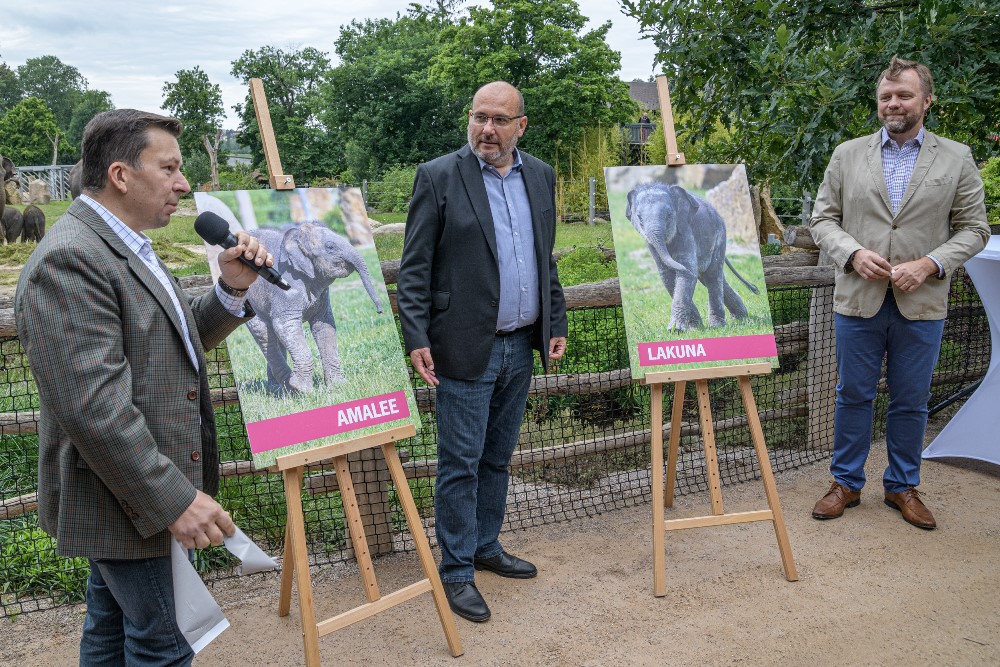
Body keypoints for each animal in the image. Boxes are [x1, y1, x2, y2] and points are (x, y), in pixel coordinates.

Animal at [244, 222, 384, 394]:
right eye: (330, 246)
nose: (379, 311)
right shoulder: (286, 287)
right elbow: (285, 325)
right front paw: (304, 390)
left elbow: (324, 325)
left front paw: (338, 386)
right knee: (264, 333)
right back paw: (289, 387)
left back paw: (280, 389)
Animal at [624, 183, 756, 332]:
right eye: (639, 218)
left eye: (669, 216)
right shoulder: (650, 243)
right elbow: (667, 276)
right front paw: (693, 328)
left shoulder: (685, 230)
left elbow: (687, 271)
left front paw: (676, 330)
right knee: (712, 277)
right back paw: (740, 317)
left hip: (720, 238)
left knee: (712, 276)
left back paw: (718, 325)